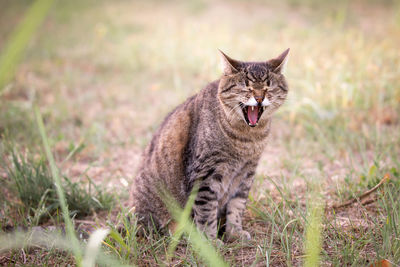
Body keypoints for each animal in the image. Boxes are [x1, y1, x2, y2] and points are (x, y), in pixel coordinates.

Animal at [130, 48, 290, 243]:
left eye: (268, 87)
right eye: (247, 86)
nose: (259, 98)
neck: (247, 138)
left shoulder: (247, 172)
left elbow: (237, 206)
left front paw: (234, 232)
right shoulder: (205, 175)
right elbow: (206, 211)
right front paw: (210, 241)